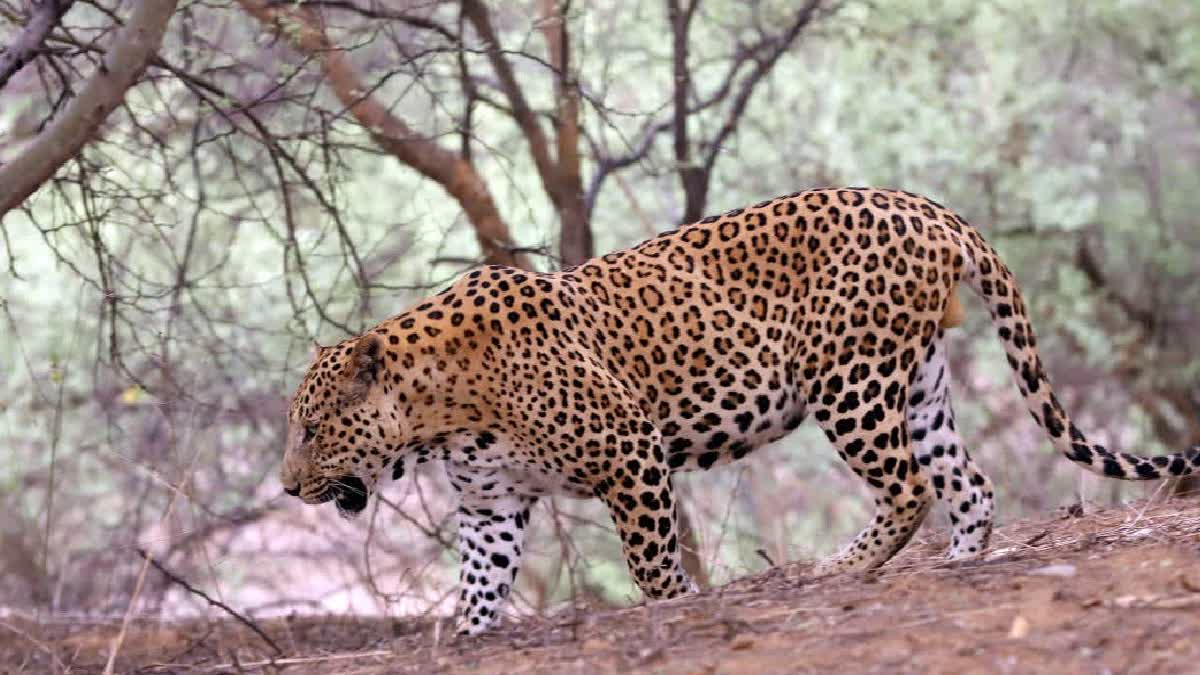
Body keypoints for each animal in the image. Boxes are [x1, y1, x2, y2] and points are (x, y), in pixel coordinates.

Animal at [280, 187, 1200, 635]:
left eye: (313, 428)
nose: (287, 487)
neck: (438, 414)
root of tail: (928, 207)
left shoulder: (629, 452)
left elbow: (651, 562)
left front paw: (677, 607)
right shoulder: (490, 505)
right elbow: (478, 585)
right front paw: (470, 638)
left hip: (848, 379)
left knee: (907, 487)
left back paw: (840, 567)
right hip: (920, 384)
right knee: (968, 483)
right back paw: (958, 564)